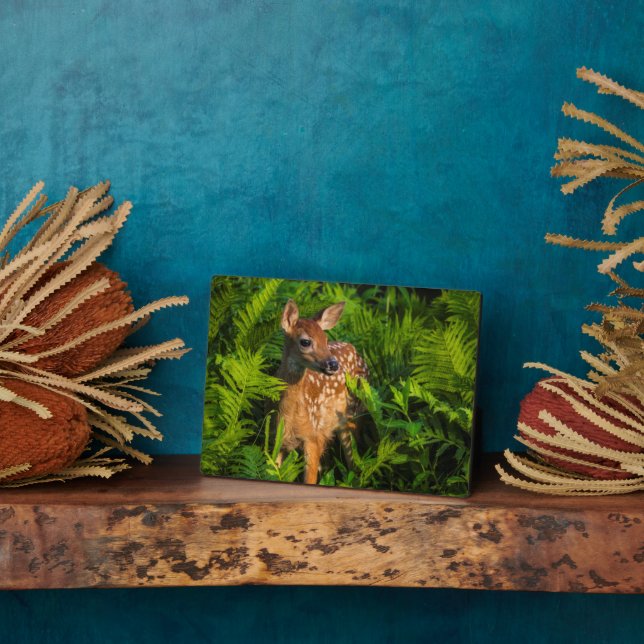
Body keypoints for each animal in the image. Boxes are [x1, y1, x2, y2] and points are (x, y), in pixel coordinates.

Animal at [275, 299, 369, 484]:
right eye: (305, 342)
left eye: (325, 339)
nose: (333, 364)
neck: (289, 415)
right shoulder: (275, 440)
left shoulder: (312, 438)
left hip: (353, 413)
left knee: (354, 460)